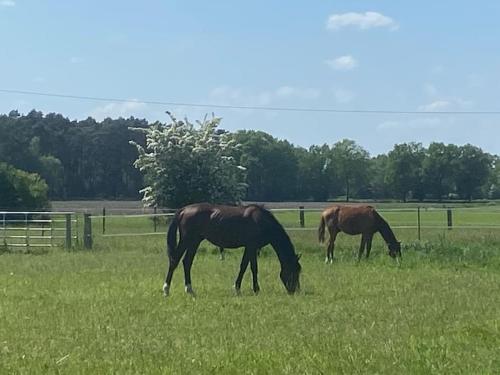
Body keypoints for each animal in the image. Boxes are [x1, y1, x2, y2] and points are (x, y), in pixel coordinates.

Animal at [164, 204, 302, 298]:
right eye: (293, 271)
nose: (295, 291)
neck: (261, 221)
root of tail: (183, 210)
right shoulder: (252, 247)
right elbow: (253, 268)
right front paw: (256, 289)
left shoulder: (249, 248)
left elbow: (243, 266)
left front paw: (237, 288)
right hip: (186, 240)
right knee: (174, 261)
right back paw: (166, 290)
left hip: (194, 241)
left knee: (187, 262)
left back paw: (190, 290)